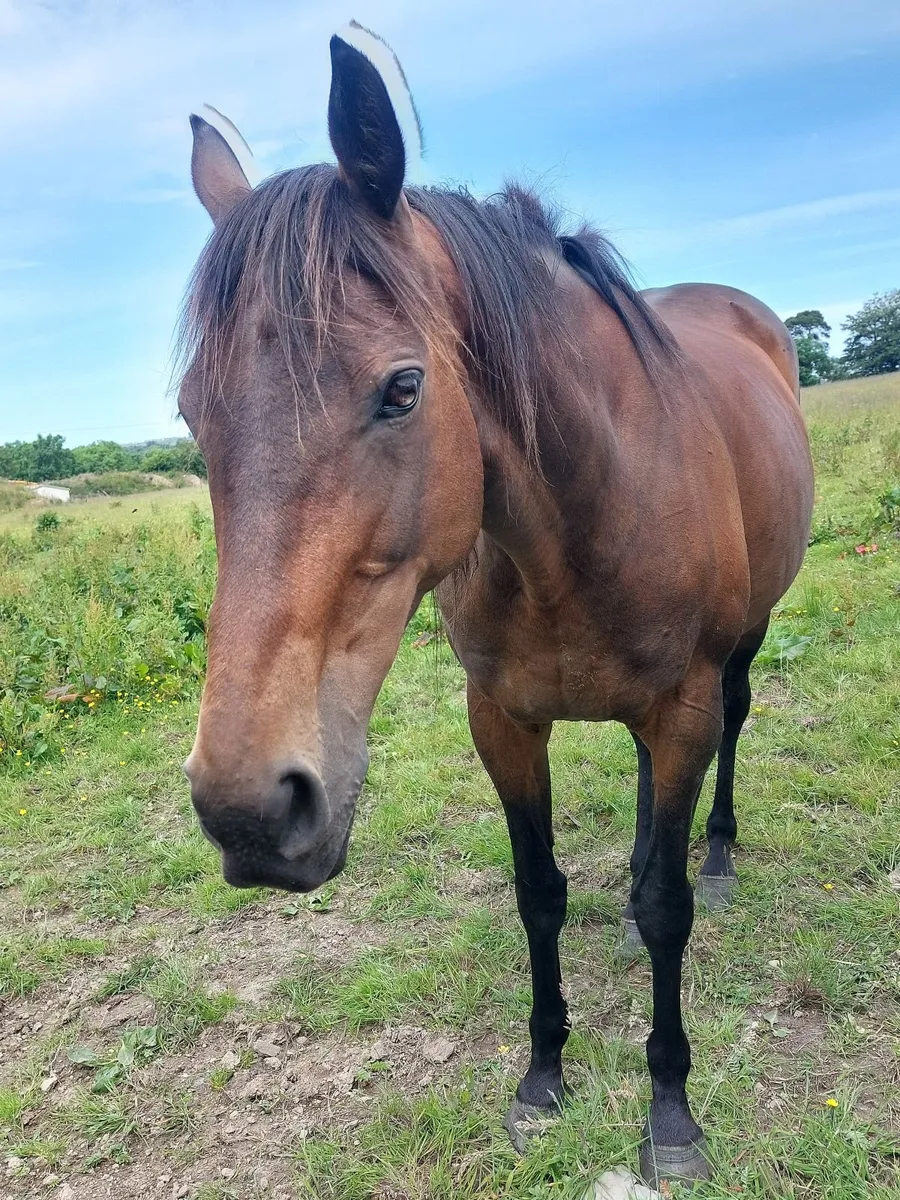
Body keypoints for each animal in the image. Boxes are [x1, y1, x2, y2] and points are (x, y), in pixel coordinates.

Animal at [179, 29, 813, 1188]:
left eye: (402, 388)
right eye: (193, 414)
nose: (249, 808)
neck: (586, 511)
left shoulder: (684, 706)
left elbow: (668, 912)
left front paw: (670, 1113)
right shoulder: (504, 722)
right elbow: (538, 892)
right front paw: (543, 1076)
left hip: (737, 656)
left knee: (728, 753)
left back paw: (716, 855)